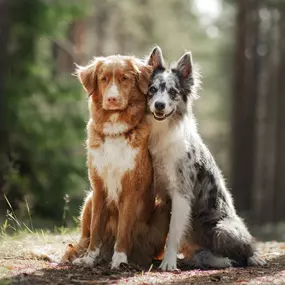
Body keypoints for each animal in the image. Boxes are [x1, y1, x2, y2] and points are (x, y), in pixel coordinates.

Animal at [60, 54, 169, 268]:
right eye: (103, 79)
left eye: (124, 79)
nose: (112, 98)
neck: (115, 131)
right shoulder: (98, 187)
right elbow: (95, 228)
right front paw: (89, 259)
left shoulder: (130, 188)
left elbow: (124, 227)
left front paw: (119, 259)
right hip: (89, 199)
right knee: (82, 240)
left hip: (162, 209)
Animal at [145, 45, 262, 270]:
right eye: (152, 90)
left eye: (173, 92)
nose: (159, 105)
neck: (163, 132)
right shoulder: (159, 192)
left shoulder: (181, 192)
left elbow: (173, 233)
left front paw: (168, 263)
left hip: (222, 229)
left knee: (246, 250)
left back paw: (253, 257)